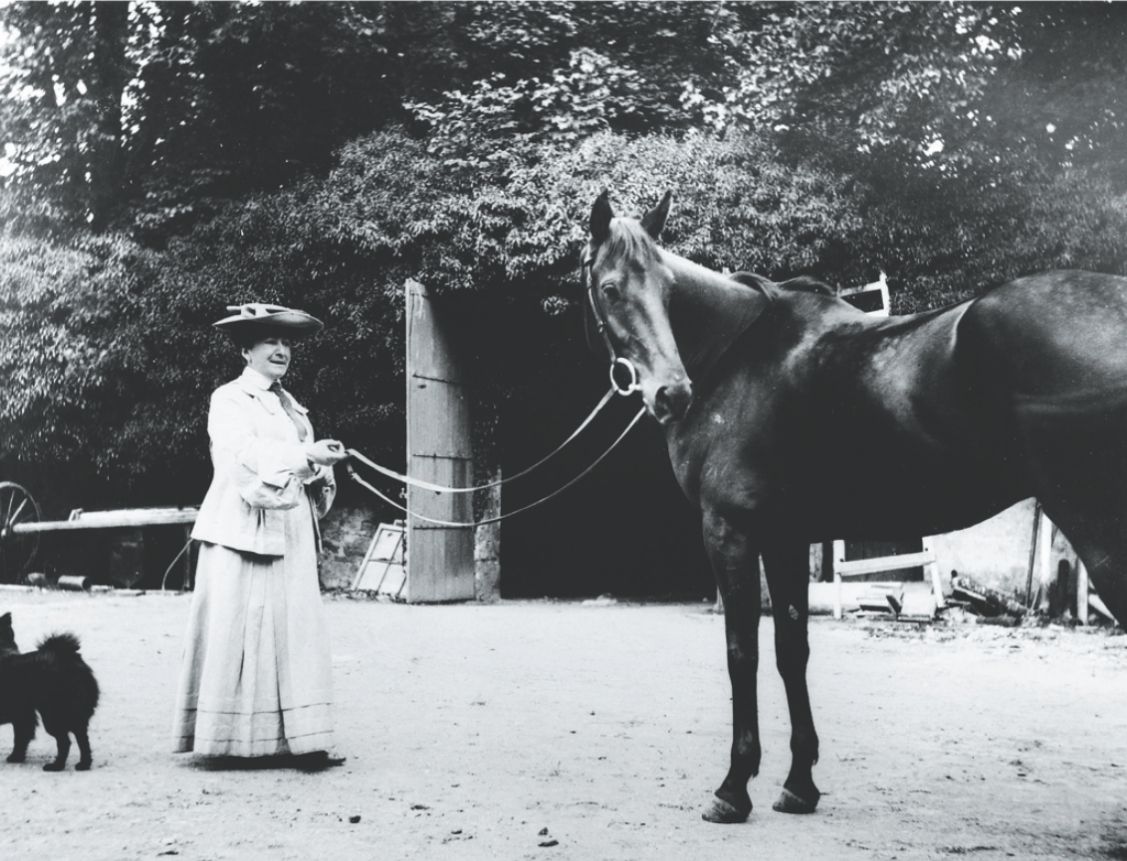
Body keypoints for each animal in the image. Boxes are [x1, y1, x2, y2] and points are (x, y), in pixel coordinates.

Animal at [0, 608, 99, 770]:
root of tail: (67, 658)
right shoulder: (24, 715)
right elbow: (21, 738)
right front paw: (17, 757)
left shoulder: (23, 715)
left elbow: (20, 737)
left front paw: (15, 757)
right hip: (73, 716)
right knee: (82, 740)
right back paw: (83, 764)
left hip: (53, 716)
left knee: (65, 742)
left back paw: (56, 766)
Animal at [586, 191, 1127, 824]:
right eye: (610, 288)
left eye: (667, 288)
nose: (671, 393)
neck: (736, 354)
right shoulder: (785, 536)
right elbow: (791, 650)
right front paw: (799, 782)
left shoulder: (730, 530)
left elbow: (743, 653)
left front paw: (733, 787)